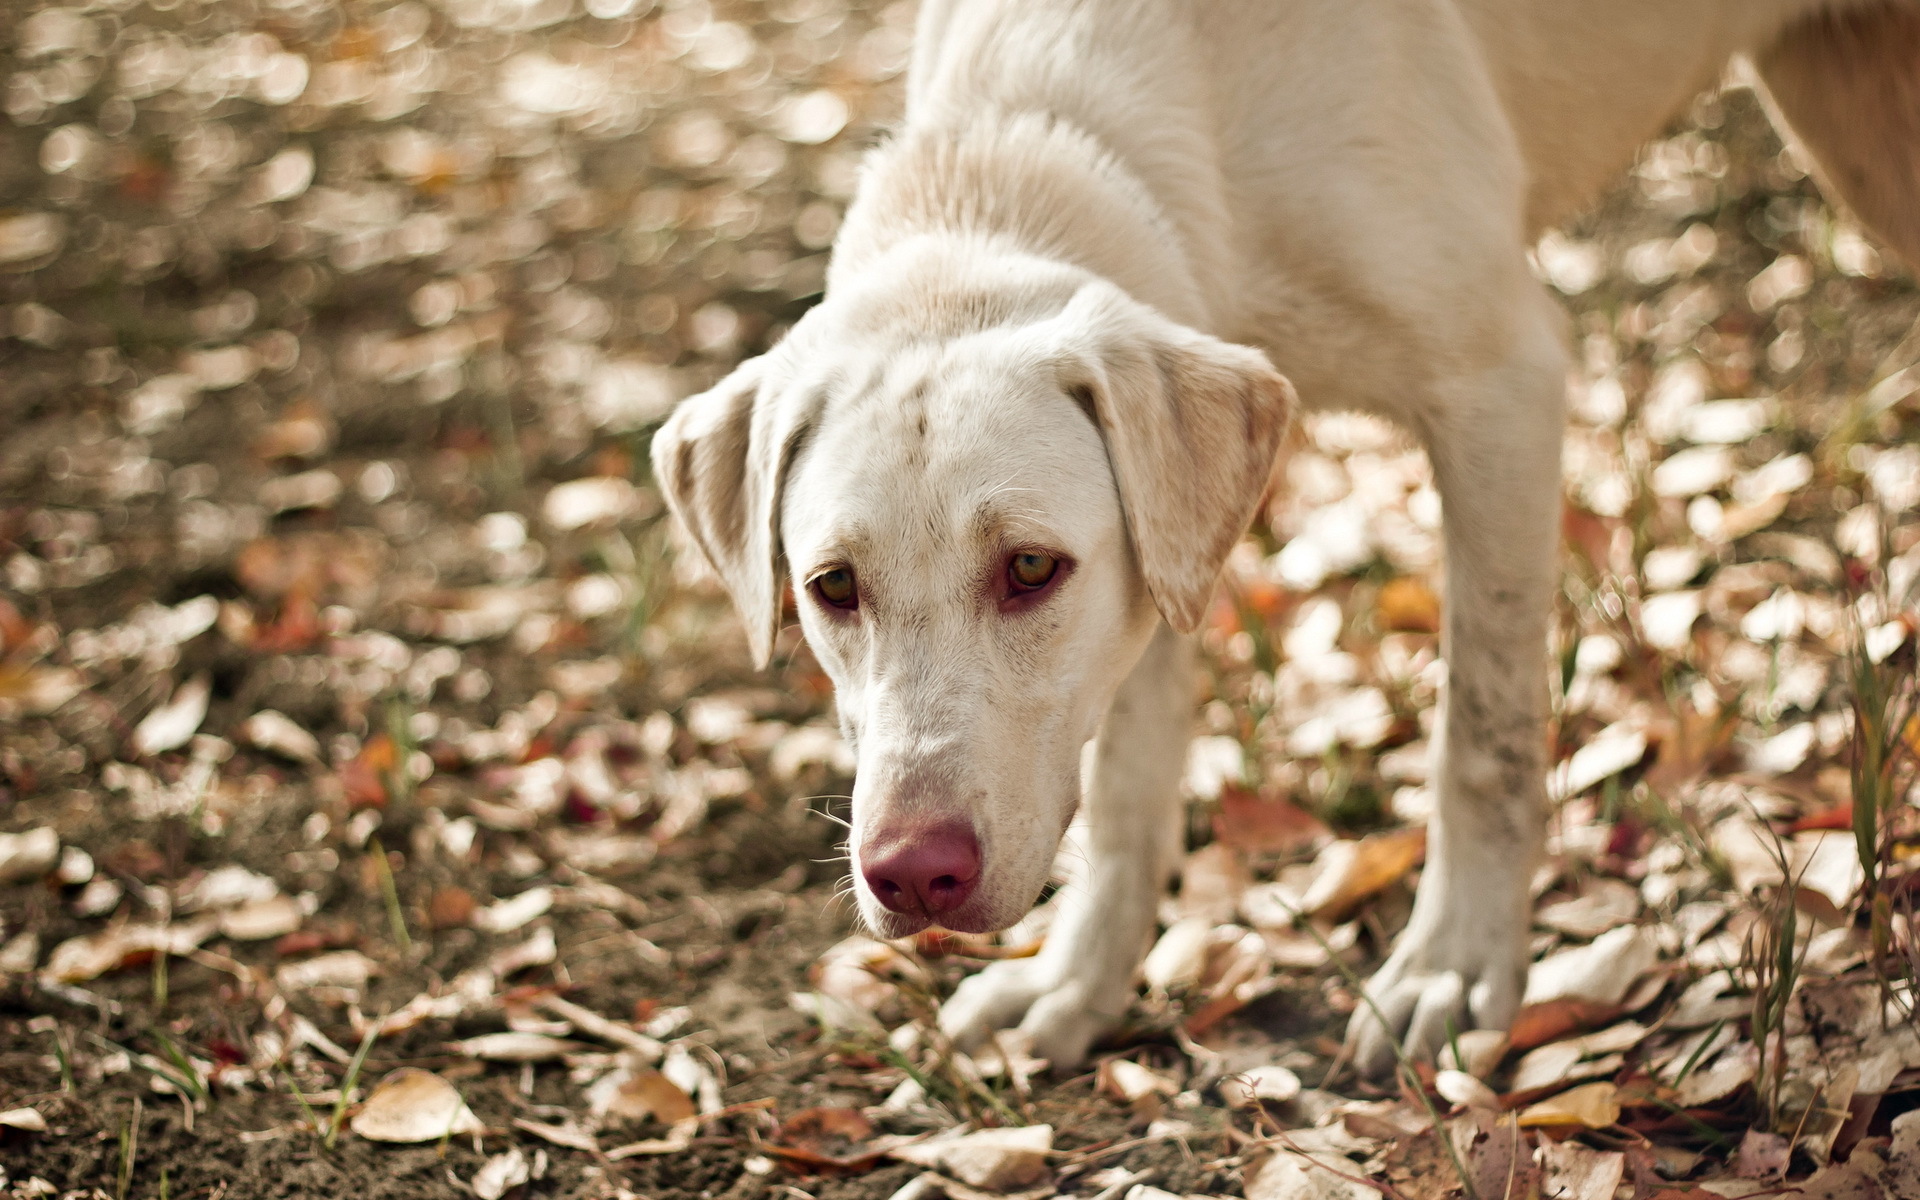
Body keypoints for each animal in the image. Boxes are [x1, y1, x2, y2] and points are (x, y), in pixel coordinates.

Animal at [648, 0, 1920, 1075]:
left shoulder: (1500, 387)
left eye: (1029, 569)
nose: (913, 876)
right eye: (832, 588)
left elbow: (1481, 736)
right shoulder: (1161, 554)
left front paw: (1455, 967)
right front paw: (1081, 981)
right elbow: (1129, 792)